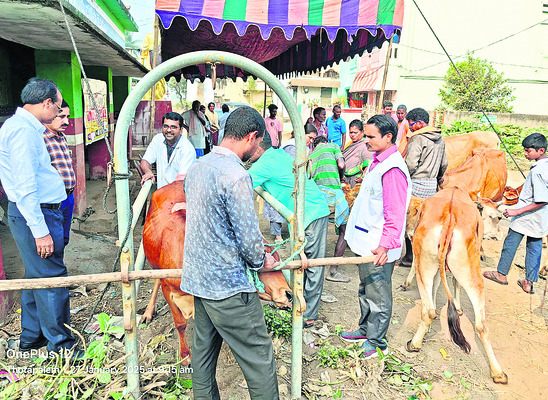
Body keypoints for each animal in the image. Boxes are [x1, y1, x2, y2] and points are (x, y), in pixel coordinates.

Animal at [404, 188, 508, 384]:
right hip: (469, 269)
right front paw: (458, 307)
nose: (499, 235)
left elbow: (438, 285)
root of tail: (450, 215)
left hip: (428, 262)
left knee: (433, 311)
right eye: (497, 216)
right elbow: (453, 283)